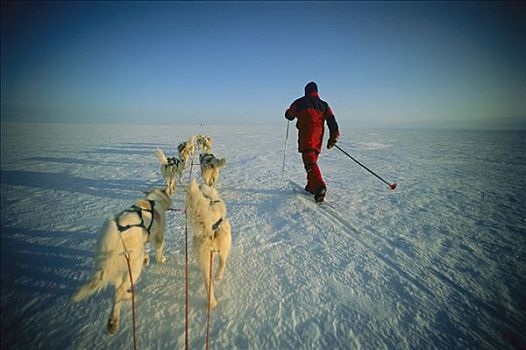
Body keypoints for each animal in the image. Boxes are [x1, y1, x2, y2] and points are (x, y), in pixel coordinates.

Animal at [71, 189, 171, 334]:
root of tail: (115, 233)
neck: (153, 200)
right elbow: (158, 251)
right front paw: (161, 259)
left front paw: (147, 258)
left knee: (118, 287)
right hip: (134, 266)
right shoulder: (158, 236)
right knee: (119, 290)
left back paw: (128, 295)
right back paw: (113, 322)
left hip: (118, 266)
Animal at [188, 179, 233, 308]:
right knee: (222, 263)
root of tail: (210, 228)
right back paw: (218, 277)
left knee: (208, 282)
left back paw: (212, 303)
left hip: (203, 255)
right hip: (225, 245)